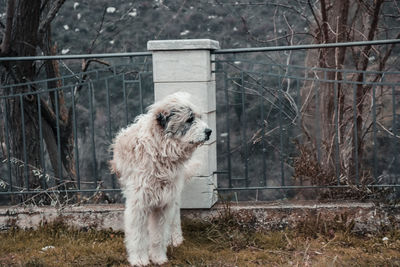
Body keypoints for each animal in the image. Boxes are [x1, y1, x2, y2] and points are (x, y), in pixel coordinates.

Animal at [108, 92, 211, 267]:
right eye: (190, 119)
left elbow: (158, 235)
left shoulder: (164, 203)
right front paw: (139, 259)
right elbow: (138, 235)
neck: (160, 151)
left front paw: (158, 257)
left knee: (174, 219)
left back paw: (174, 239)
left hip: (173, 196)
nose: (209, 131)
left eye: (199, 117)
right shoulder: (139, 204)